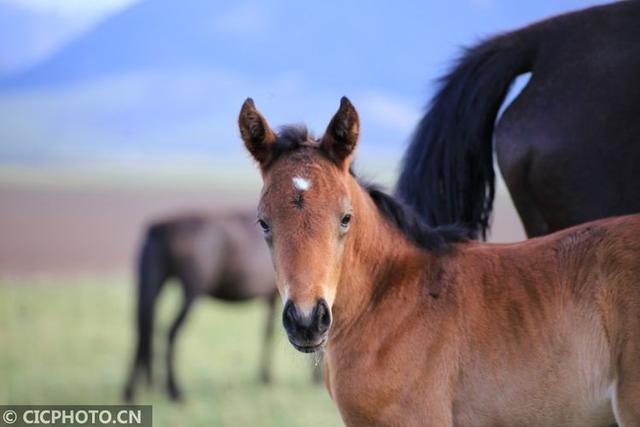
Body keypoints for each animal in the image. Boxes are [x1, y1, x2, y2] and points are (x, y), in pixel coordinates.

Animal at [124, 212, 284, 402]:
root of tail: (159, 229)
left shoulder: (272, 299)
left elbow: (267, 333)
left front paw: (265, 376)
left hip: (154, 283)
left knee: (143, 332)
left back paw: (132, 392)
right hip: (191, 292)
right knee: (171, 333)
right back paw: (174, 390)